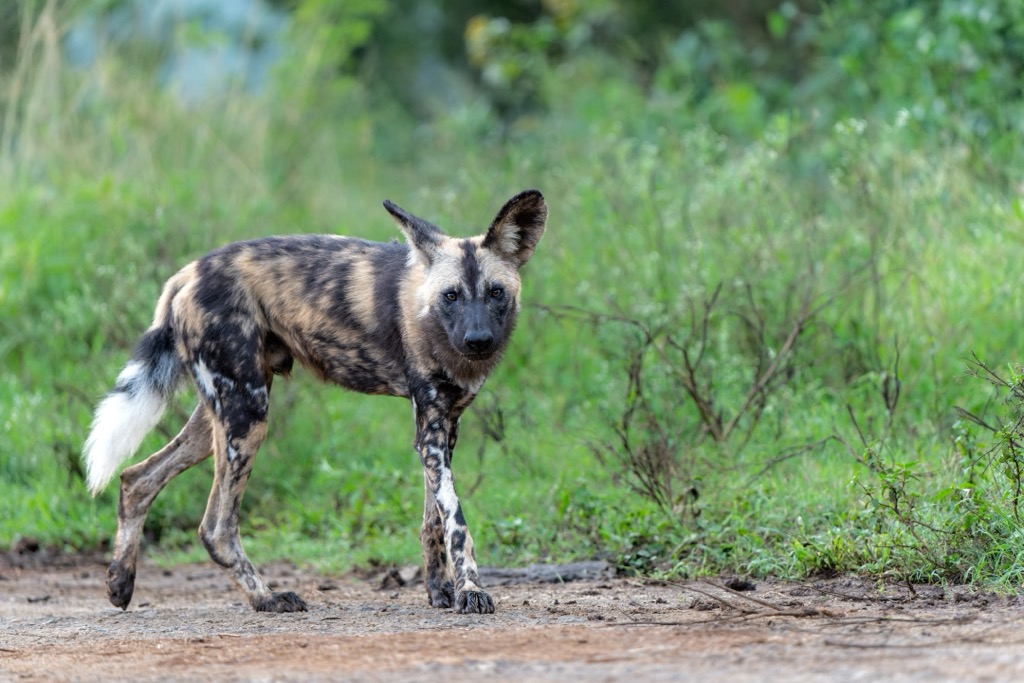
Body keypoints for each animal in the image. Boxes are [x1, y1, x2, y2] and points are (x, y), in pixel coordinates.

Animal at [81, 191, 544, 614]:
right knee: (215, 527)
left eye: (496, 292)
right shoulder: (430, 427)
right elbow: (456, 521)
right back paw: (267, 598)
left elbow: (433, 519)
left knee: (136, 479)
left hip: (220, 418)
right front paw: (471, 591)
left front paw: (439, 590)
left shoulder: (443, 428)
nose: (478, 340)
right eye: (451, 296)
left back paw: (119, 584)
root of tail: (187, 273)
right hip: (247, 418)